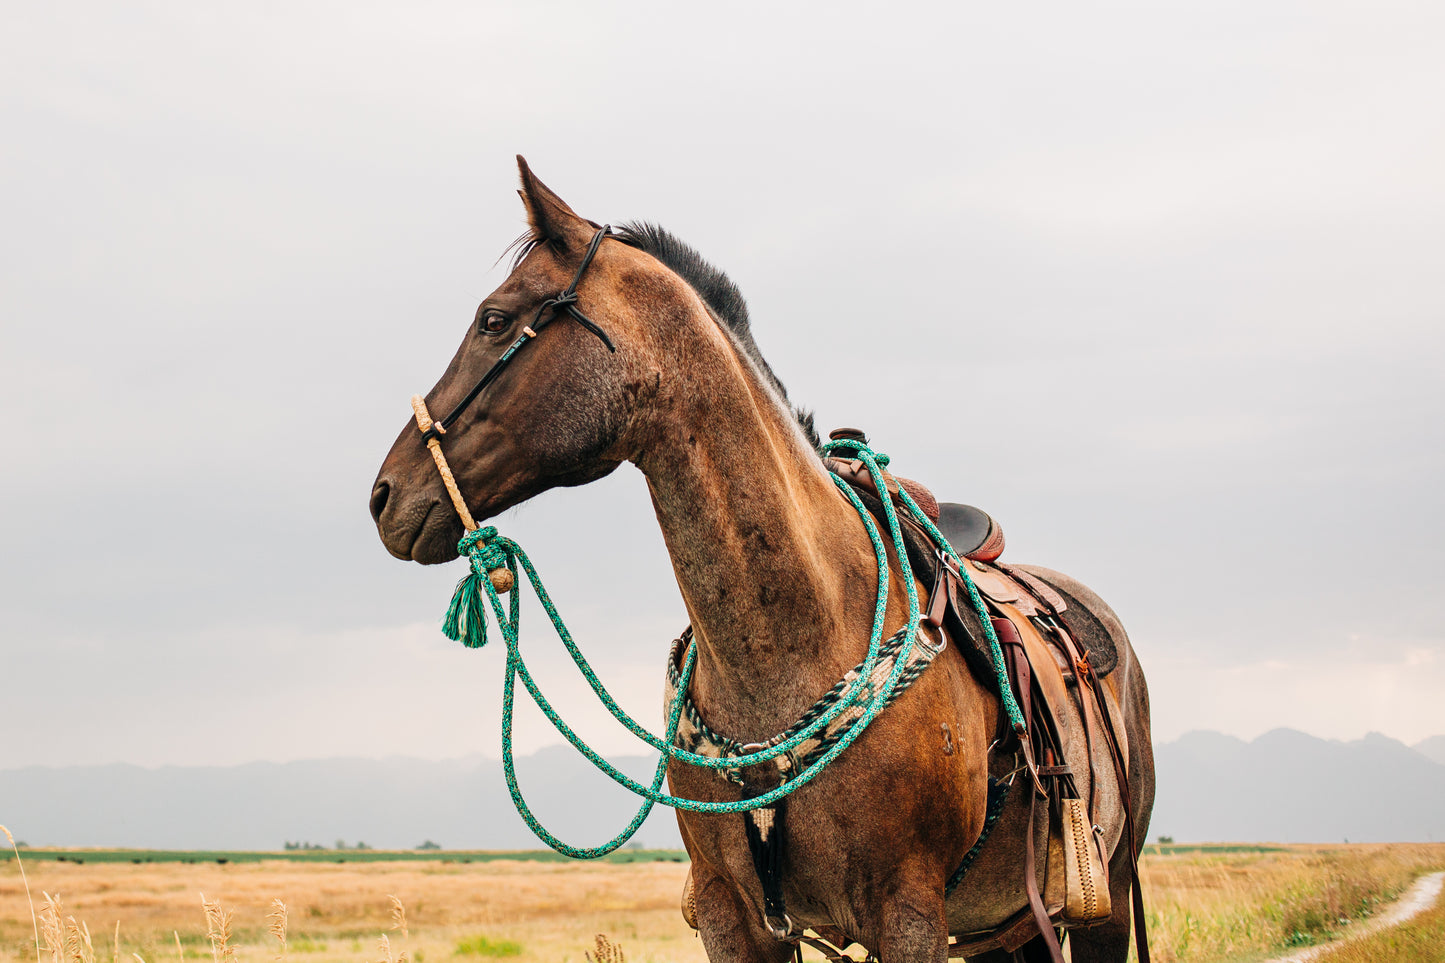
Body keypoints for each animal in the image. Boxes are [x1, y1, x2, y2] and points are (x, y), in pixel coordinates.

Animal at [367, 157, 1156, 960]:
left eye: (493, 320)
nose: (384, 494)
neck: (797, 635)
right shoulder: (732, 913)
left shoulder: (908, 911)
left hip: (1103, 900)